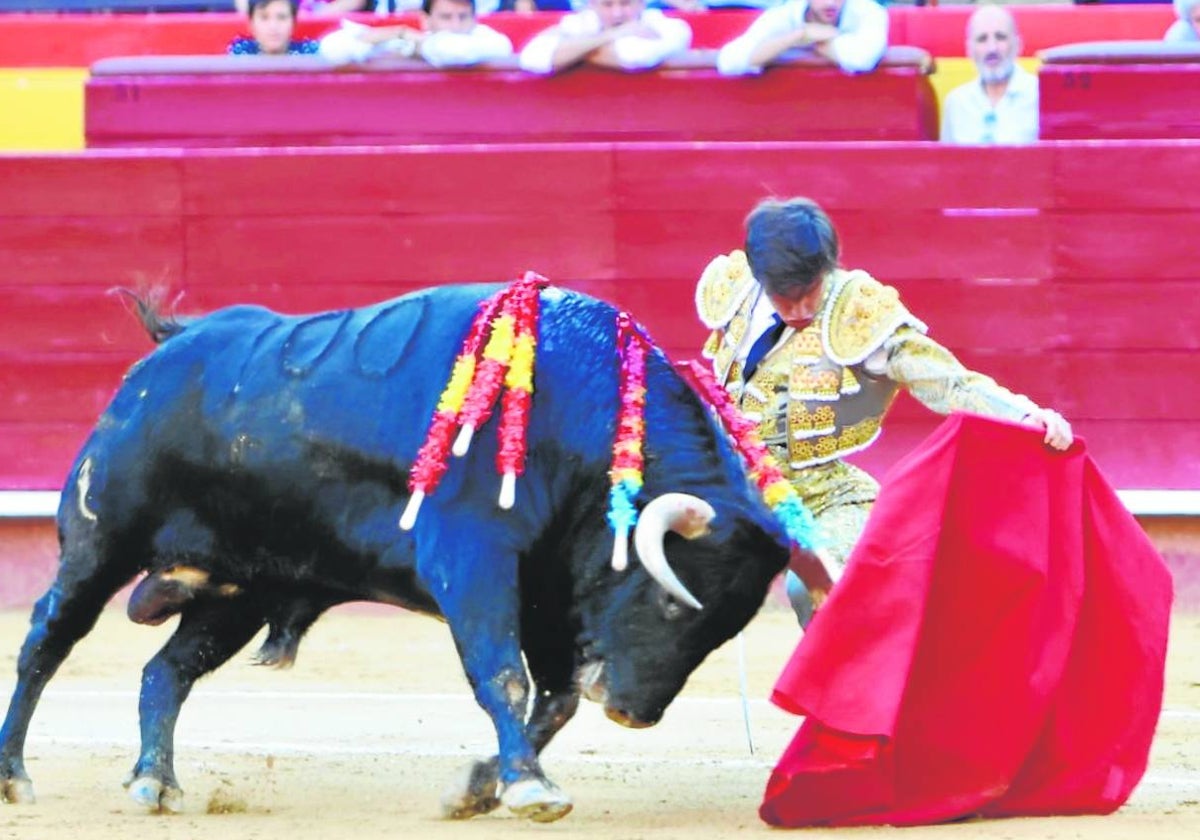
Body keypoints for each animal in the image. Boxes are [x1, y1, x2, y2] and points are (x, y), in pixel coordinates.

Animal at [0, 282, 792, 820]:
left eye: (720, 631)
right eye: (671, 602)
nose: (632, 713)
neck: (581, 416)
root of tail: (165, 354)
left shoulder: (546, 586)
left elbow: (556, 697)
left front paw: (480, 787)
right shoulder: (474, 560)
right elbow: (504, 677)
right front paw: (529, 788)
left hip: (240, 588)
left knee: (166, 671)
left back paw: (153, 781)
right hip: (102, 539)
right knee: (47, 640)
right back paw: (15, 773)